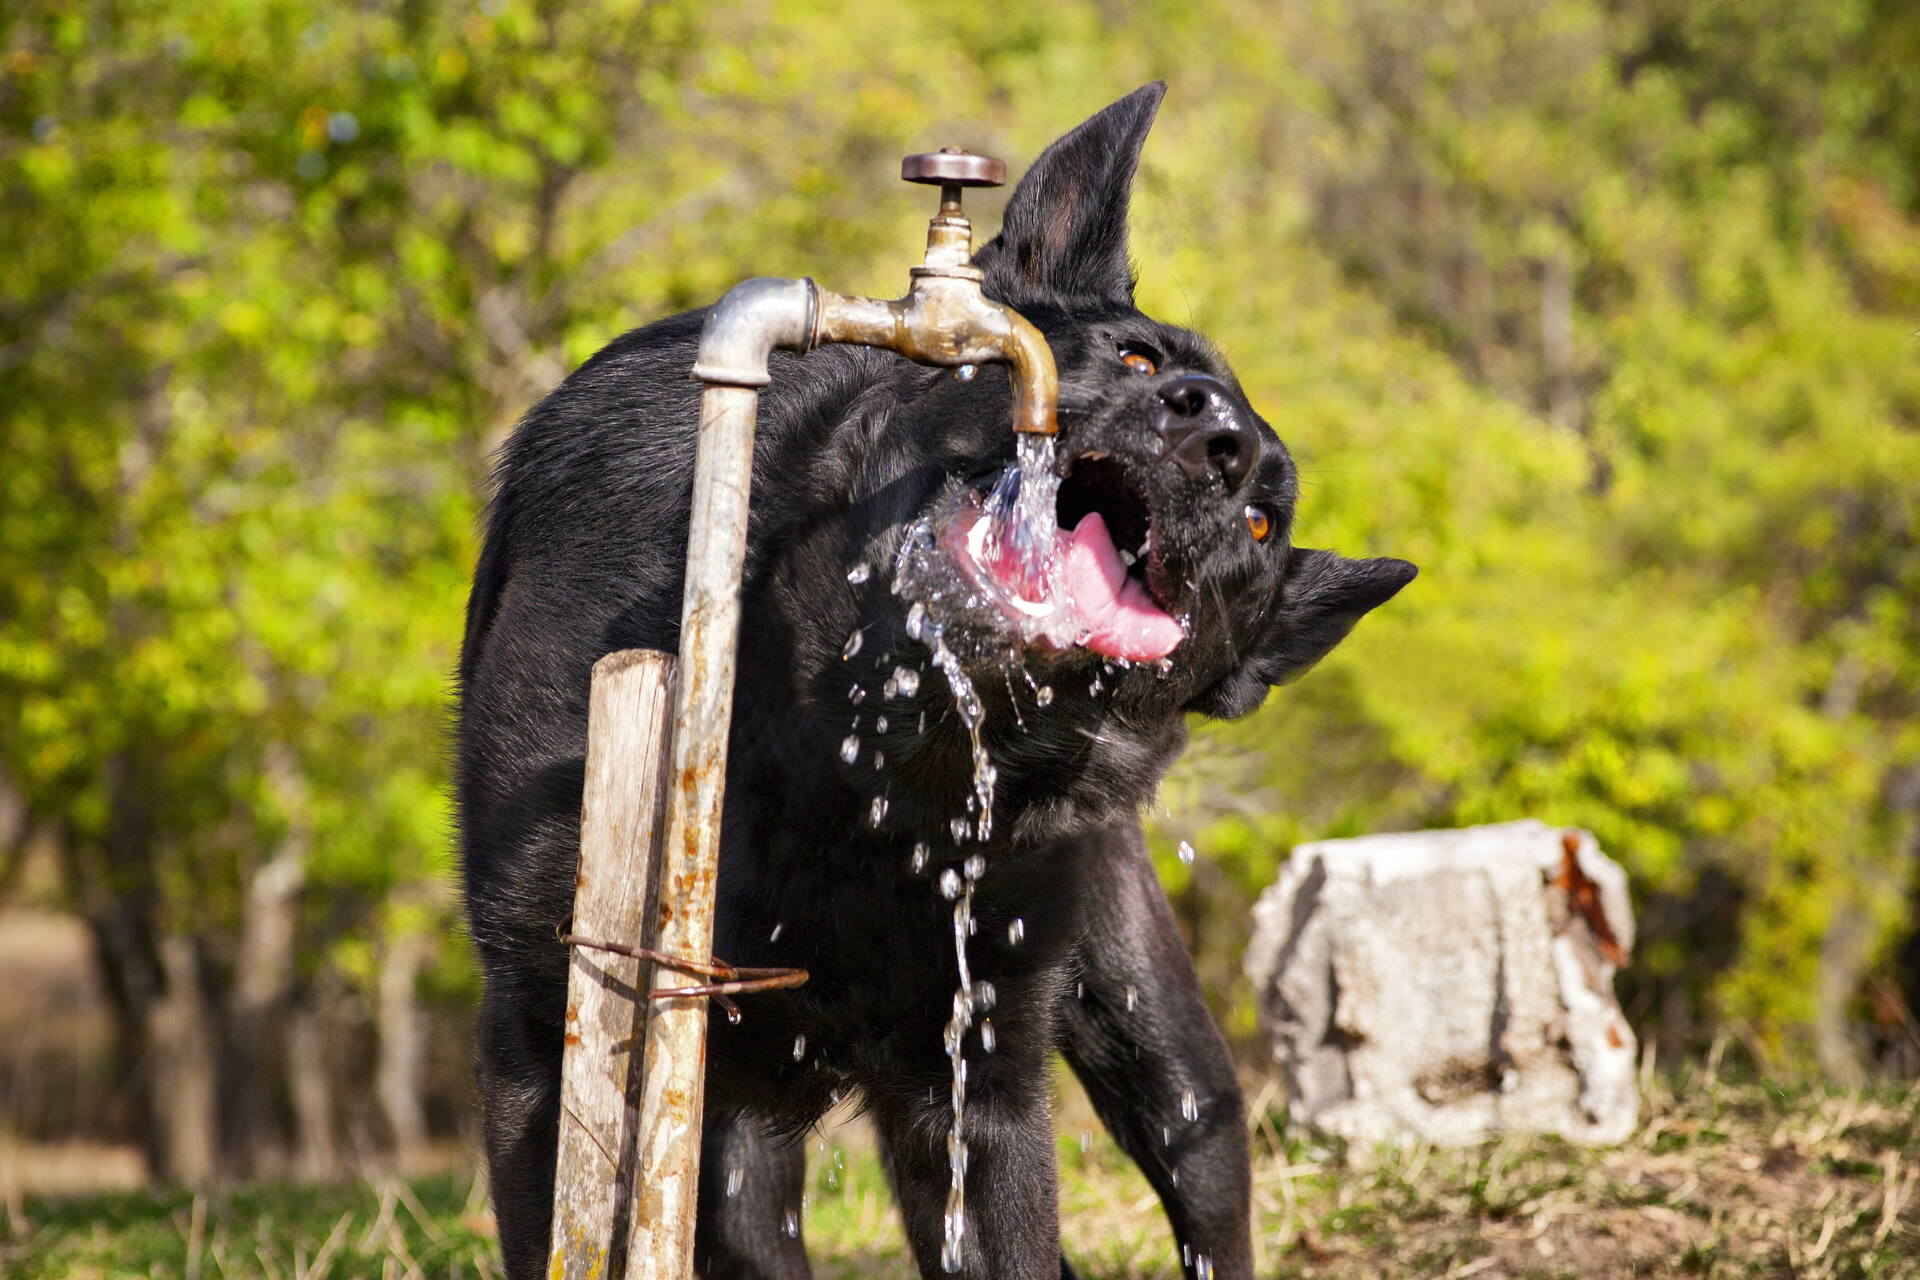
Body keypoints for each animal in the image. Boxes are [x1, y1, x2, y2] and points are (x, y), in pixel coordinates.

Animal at [449, 82, 1413, 1280]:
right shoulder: (553, 1033)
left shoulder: (973, 1084)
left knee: (1201, 1166)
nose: (1219, 438)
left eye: (1262, 522)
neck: (855, 758)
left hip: (1148, 1038)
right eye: (1139, 361)